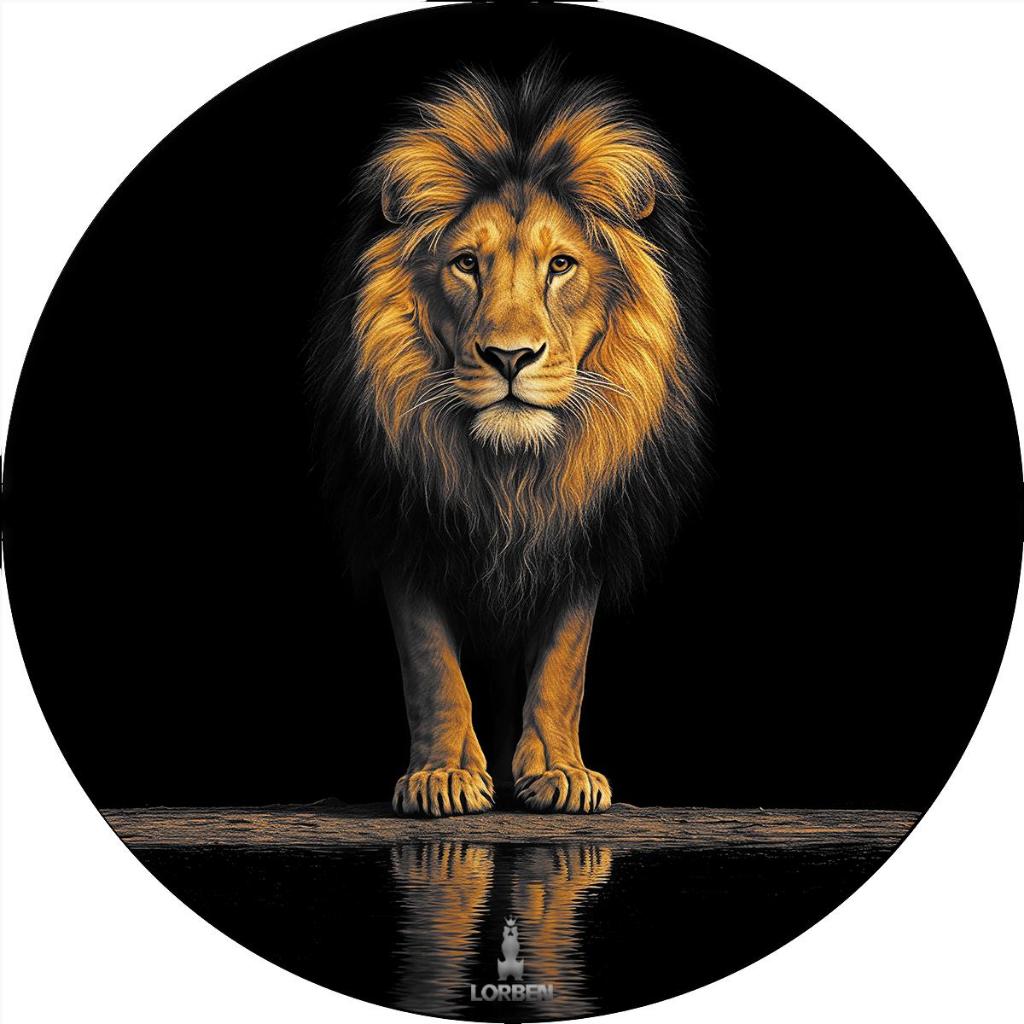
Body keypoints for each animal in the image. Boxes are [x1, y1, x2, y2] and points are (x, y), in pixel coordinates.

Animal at [308, 66, 707, 817]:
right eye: (466, 263)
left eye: (561, 266)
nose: (510, 356)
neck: (510, 473)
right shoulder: (406, 527)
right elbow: (431, 666)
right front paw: (441, 776)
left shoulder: (582, 534)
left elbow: (564, 663)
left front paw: (560, 772)